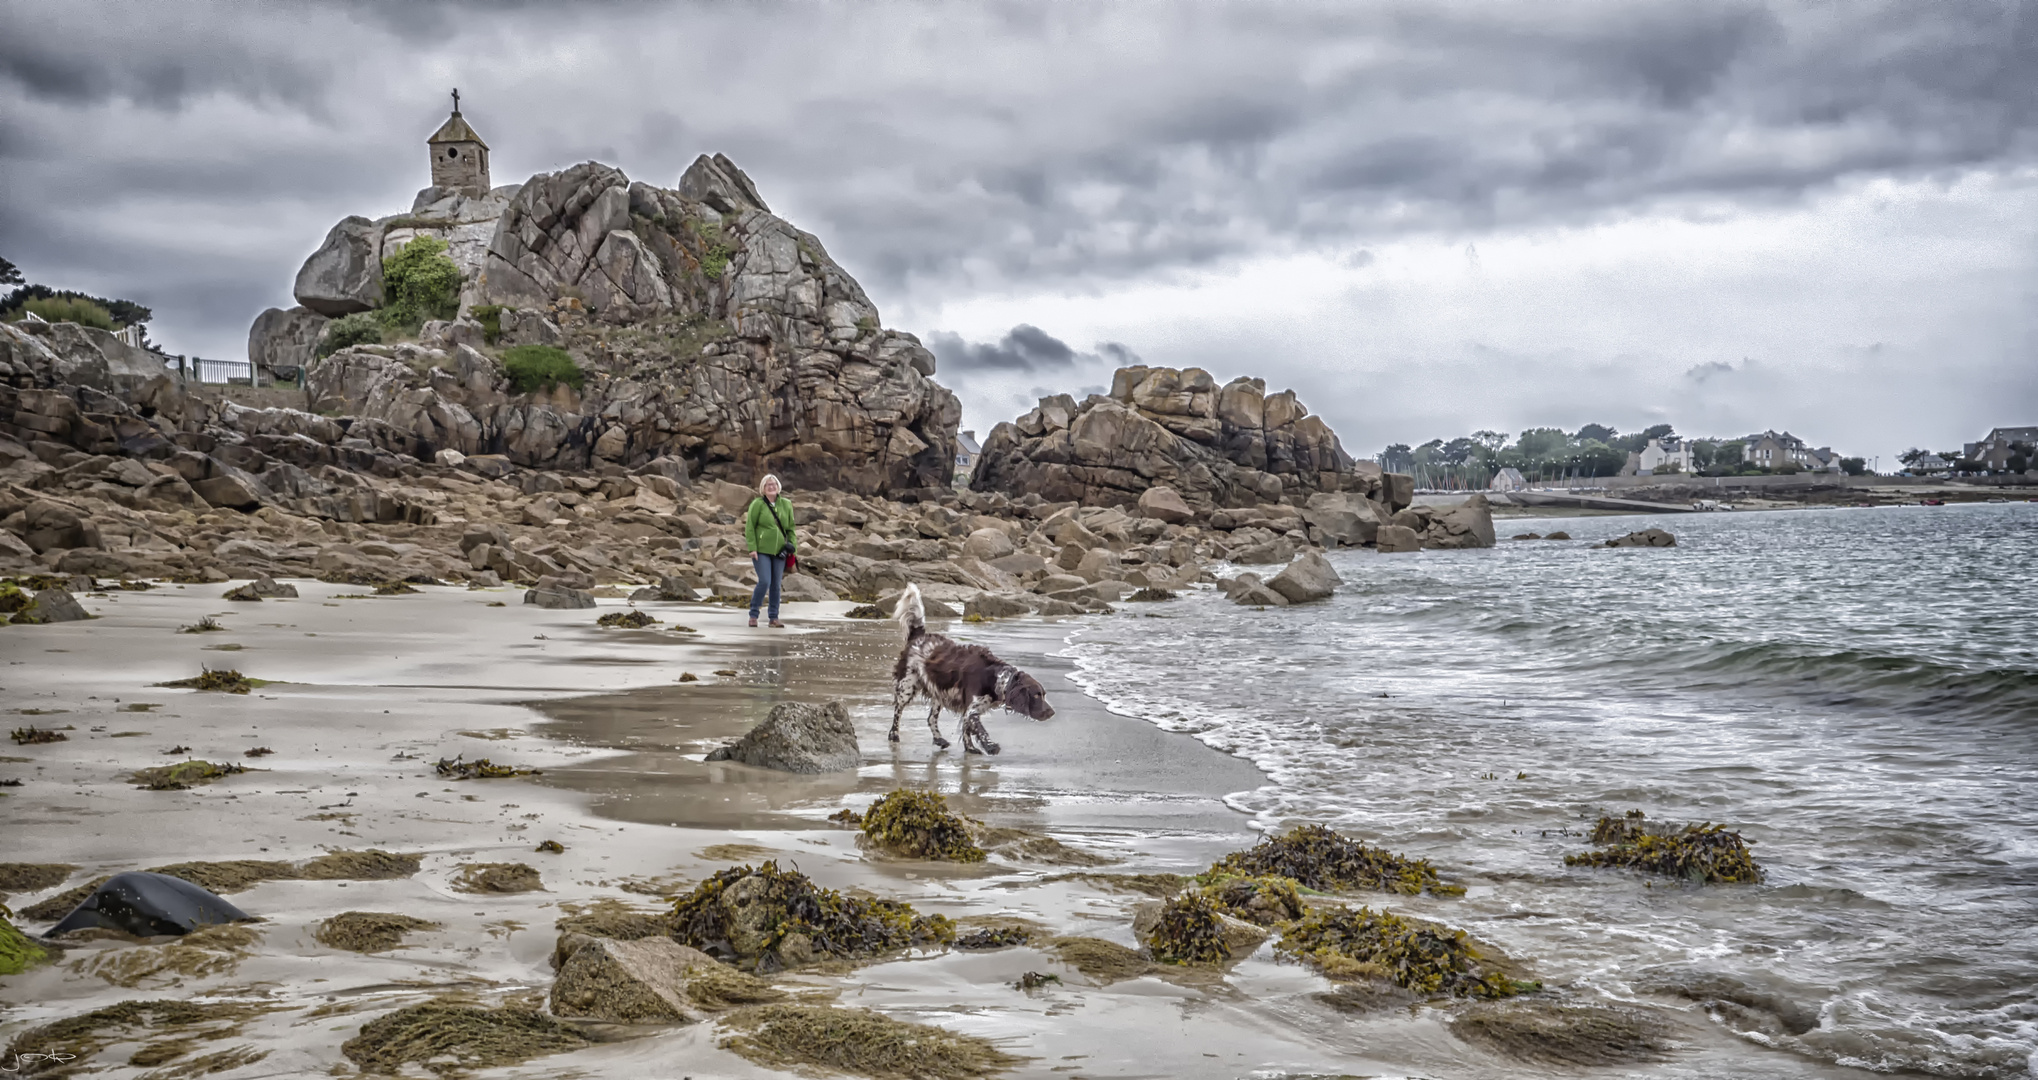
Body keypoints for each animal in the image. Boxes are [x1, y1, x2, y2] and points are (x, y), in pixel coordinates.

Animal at [888, 578, 1051, 749]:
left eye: (1043, 694)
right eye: (1036, 695)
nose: (1051, 713)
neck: (996, 678)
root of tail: (918, 635)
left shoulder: (968, 710)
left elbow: (967, 730)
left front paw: (971, 748)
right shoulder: (971, 710)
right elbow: (980, 730)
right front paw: (990, 746)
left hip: (938, 693)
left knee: (931, 718)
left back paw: (939, 739)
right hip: (907, 687)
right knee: (898, 711)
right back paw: (894, 735)